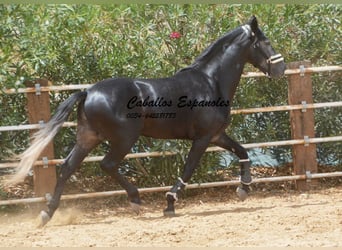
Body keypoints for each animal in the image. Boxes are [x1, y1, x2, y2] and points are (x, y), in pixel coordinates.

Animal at [5, 16, 286, 227]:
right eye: (266, 41)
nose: (280, 69)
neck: (210, 82)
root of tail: (88, 92)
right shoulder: (203, 138)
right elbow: (188, 168)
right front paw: (170, 203)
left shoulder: (216, 135)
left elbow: (242, 151)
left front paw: (244, 188)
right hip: (124, 138)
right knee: (107, 164)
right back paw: (135, 200)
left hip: (88, 137)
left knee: (66, 168)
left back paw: (46, 214)